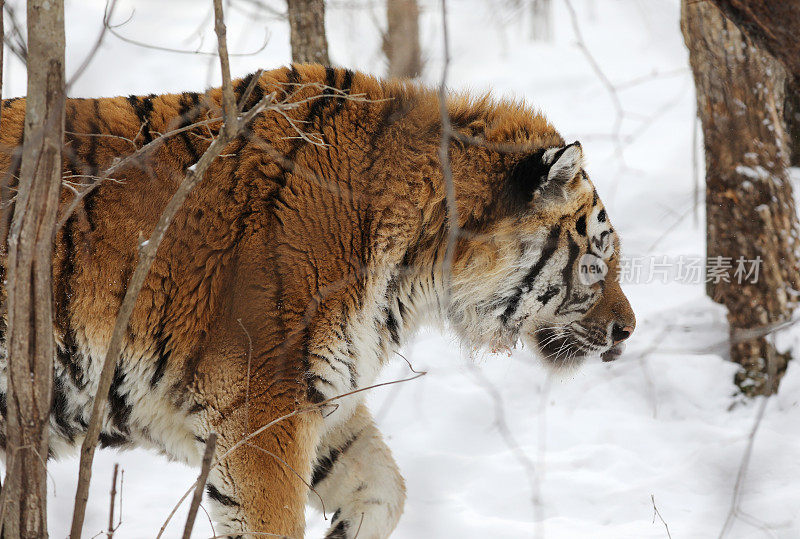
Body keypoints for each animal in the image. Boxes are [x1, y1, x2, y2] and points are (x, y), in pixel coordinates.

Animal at [0, 65, 636, 536]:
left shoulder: (320, 397)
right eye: (596, 260)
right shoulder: (260, 416)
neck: (411, 269)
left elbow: (386, 487)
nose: (628, 331)